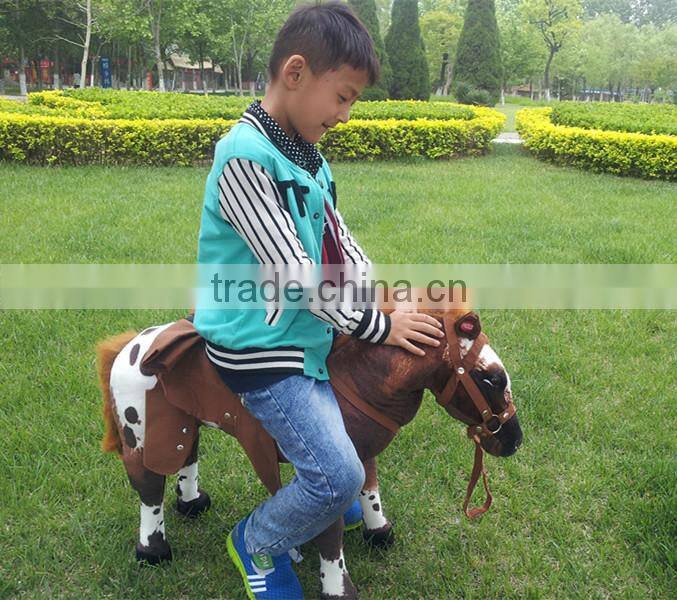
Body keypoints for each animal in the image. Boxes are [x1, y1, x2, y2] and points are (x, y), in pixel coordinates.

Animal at [96, 308, 522, 599]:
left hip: (182, 425)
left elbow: (370, 489)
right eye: (490, 377)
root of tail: (131, 346)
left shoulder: (361, 453)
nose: (513, 441)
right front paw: (337, 588)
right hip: (140, 433)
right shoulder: (331, 471)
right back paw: (154, 551)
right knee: (149, 486)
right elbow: (329, 534)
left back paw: (193, 503)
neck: (355, 381)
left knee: (186, 456)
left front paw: (378, 532)